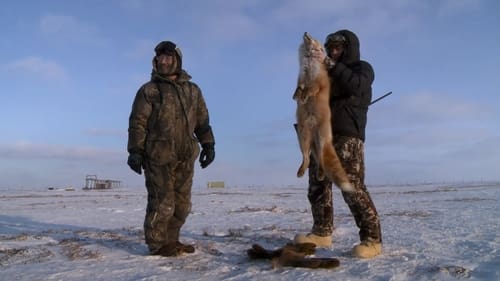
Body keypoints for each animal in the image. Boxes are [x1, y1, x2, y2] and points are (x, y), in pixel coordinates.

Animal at [292, 31, 352, 191]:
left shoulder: (317, 81)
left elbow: (310, 89)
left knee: (321, 162)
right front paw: (296, 96)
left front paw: (304, 97)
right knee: (308, 159)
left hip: (320, 142)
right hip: (303, 139)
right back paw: (302, 171)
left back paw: (319, 174)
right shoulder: (301, 77)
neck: (309, 63)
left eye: (314, 38)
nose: (306, 32)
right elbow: (299, 87)